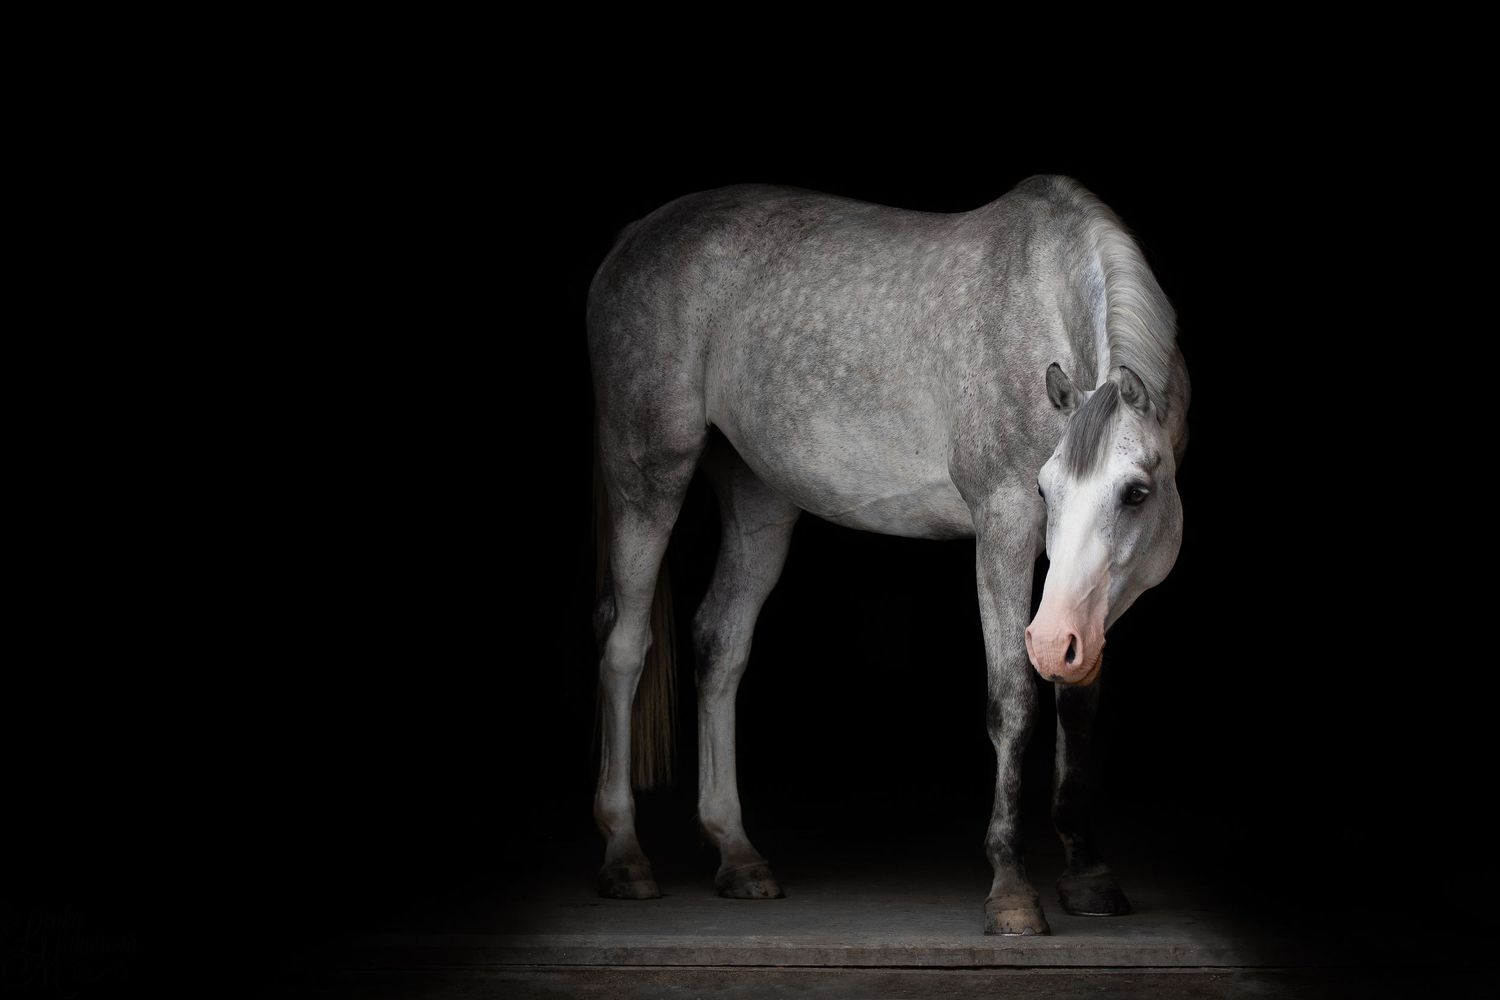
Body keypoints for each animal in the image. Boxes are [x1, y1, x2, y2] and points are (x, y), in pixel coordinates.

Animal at [585, 173, 1189, 935]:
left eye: (1137, 492)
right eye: (1044, 488)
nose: (1053, 640)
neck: (1043, 304)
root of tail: (633, 237)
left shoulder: (1089, 598)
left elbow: (1077, 701)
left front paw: (1087, 873)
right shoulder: (1004, 528)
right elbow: (1014, 700)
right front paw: (1011, 891)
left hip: (758, 498)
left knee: (719, 645)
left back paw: (738, 855)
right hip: (648, 475)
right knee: (624, 646)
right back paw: (624, 857)